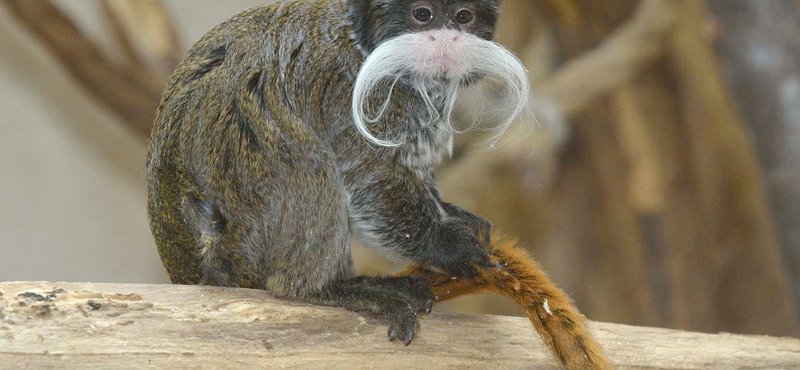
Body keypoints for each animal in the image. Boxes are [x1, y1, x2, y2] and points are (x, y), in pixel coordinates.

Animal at [148, 0, 532, 344]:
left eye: (463, 17)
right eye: (422, 15)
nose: (447, 40)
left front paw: (457, 218)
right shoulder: (359, 92)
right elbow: (370, 179)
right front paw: (453, 251)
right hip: (243, 226)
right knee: (306, 157)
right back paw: (325, 289)